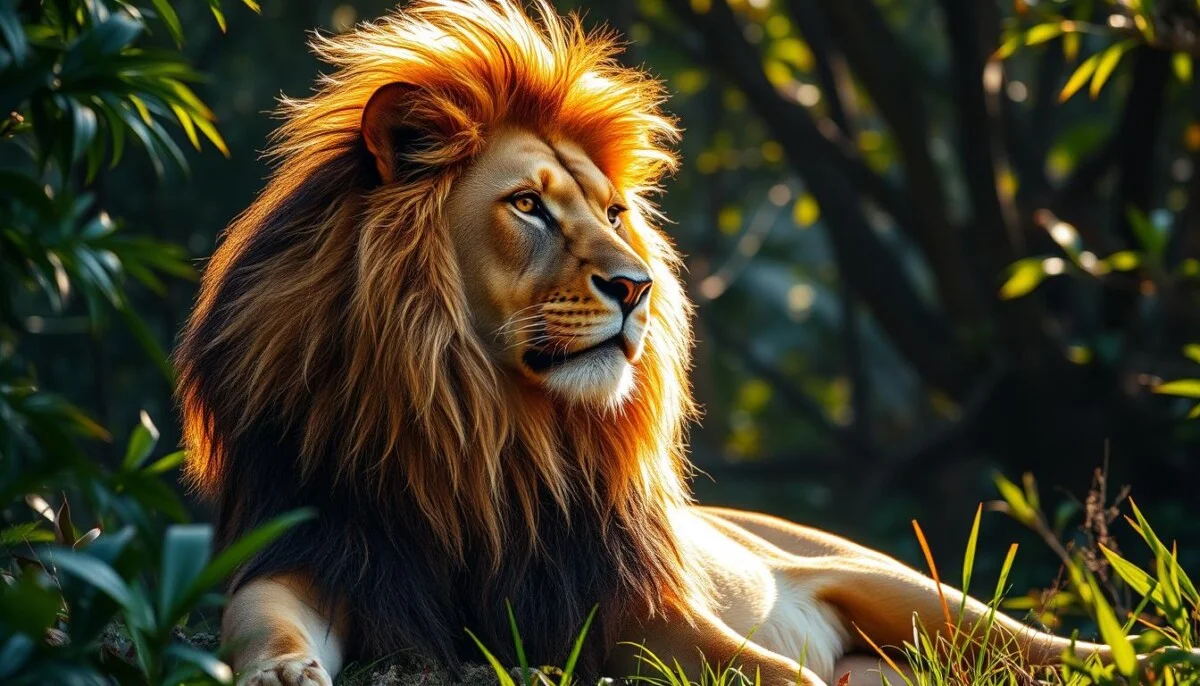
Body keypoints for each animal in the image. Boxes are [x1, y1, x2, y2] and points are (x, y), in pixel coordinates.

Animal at [176, 2, 1135, 685]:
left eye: (612, 213)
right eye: (528, 205)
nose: (638, 287)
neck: (479, 428)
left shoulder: (628, 600)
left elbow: (768, 671)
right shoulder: (327, 547)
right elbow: (257, 612)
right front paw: (281, 669)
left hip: (906, 592)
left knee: (1037, 648)